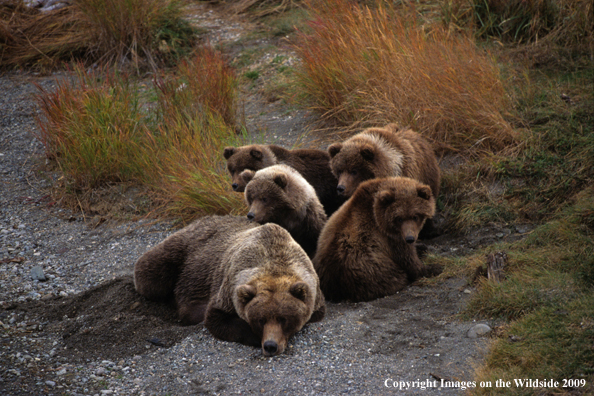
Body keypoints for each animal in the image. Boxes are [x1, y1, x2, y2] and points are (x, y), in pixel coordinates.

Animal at [133, 215, 324, 358]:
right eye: (260, 320)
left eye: (284, 319)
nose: (271, 345)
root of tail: (197, 221)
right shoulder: (227, 287)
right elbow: (217, 318)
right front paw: (254, 336)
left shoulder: (314, 292)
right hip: (184, 252)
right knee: (150, 276)